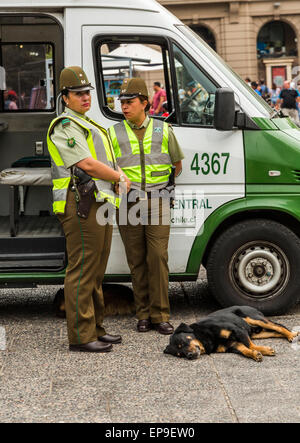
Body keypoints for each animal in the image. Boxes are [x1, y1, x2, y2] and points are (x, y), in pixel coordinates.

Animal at [165, 306, 298, 362]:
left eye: (183, 342)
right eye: (179, 354)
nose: (189, 356)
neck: (204, 336)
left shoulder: (237, 330)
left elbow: (250, 345)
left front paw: (263, 350)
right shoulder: (232, 345)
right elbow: (245, 350)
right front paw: (255, 354)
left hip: (255, 318)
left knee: (279, 326)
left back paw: (291, 335)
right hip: (258, 333)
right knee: (275, 332)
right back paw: (289, 335)